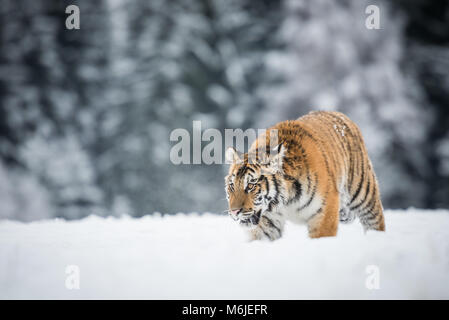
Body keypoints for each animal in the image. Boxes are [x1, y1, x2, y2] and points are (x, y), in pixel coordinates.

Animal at [224, 110, 384, 240]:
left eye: (251, 185)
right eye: (232, 186)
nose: (234, 211)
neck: (284, 202)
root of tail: (340, 114)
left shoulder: (324, 213)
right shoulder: (267, 221)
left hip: (363, 194)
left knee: (375, 221)